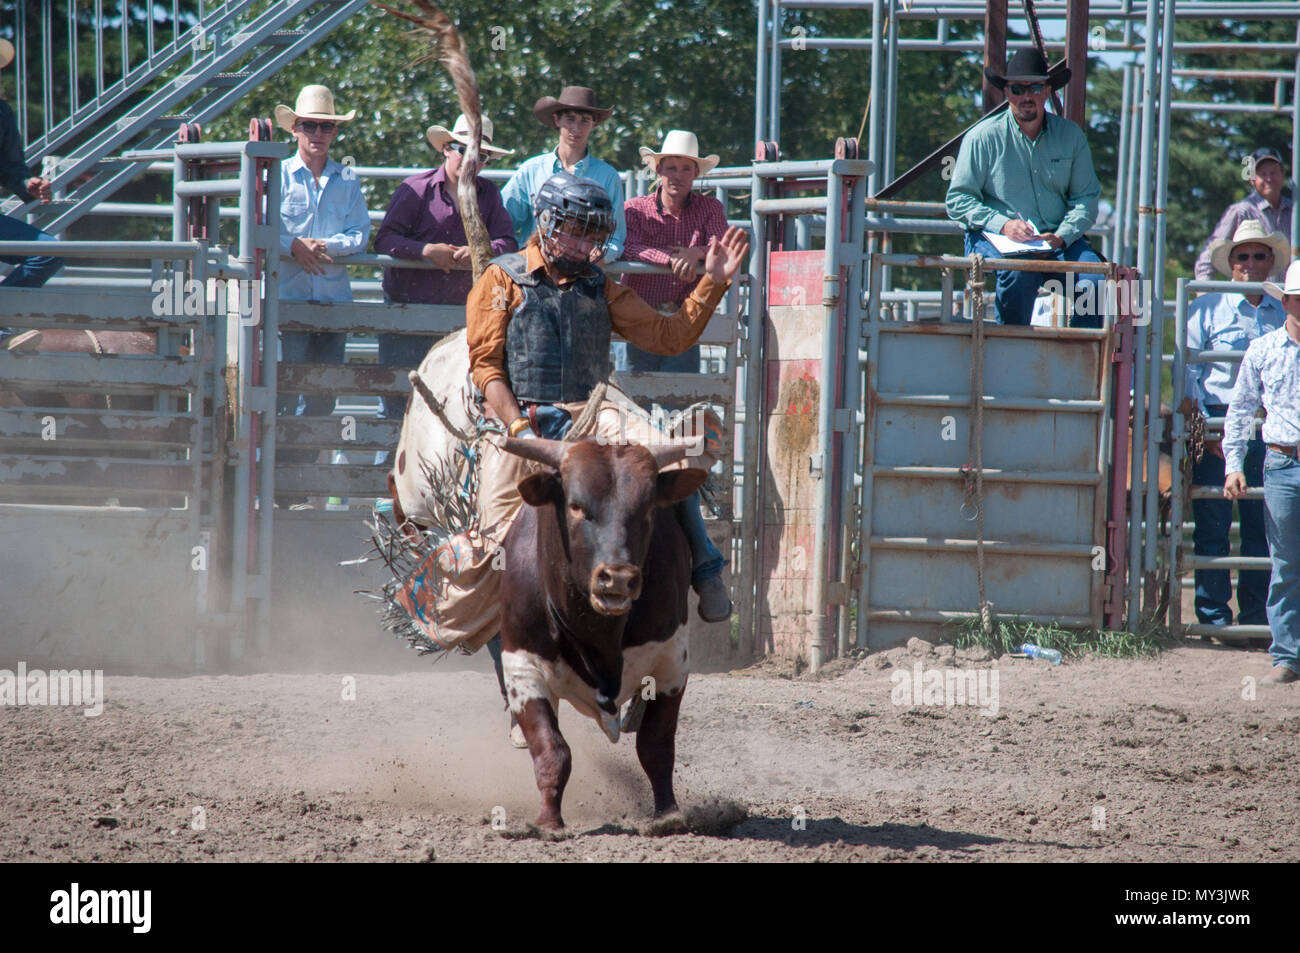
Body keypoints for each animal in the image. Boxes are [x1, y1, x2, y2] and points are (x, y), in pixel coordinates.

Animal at [496, 434, 707, 826]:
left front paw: (668, 814)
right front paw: (548, 822)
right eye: (577, 506)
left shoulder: (672, 664)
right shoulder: (522, 667)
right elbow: (552, 749)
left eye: (648, 509)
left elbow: (656, 744)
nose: (618, 577)